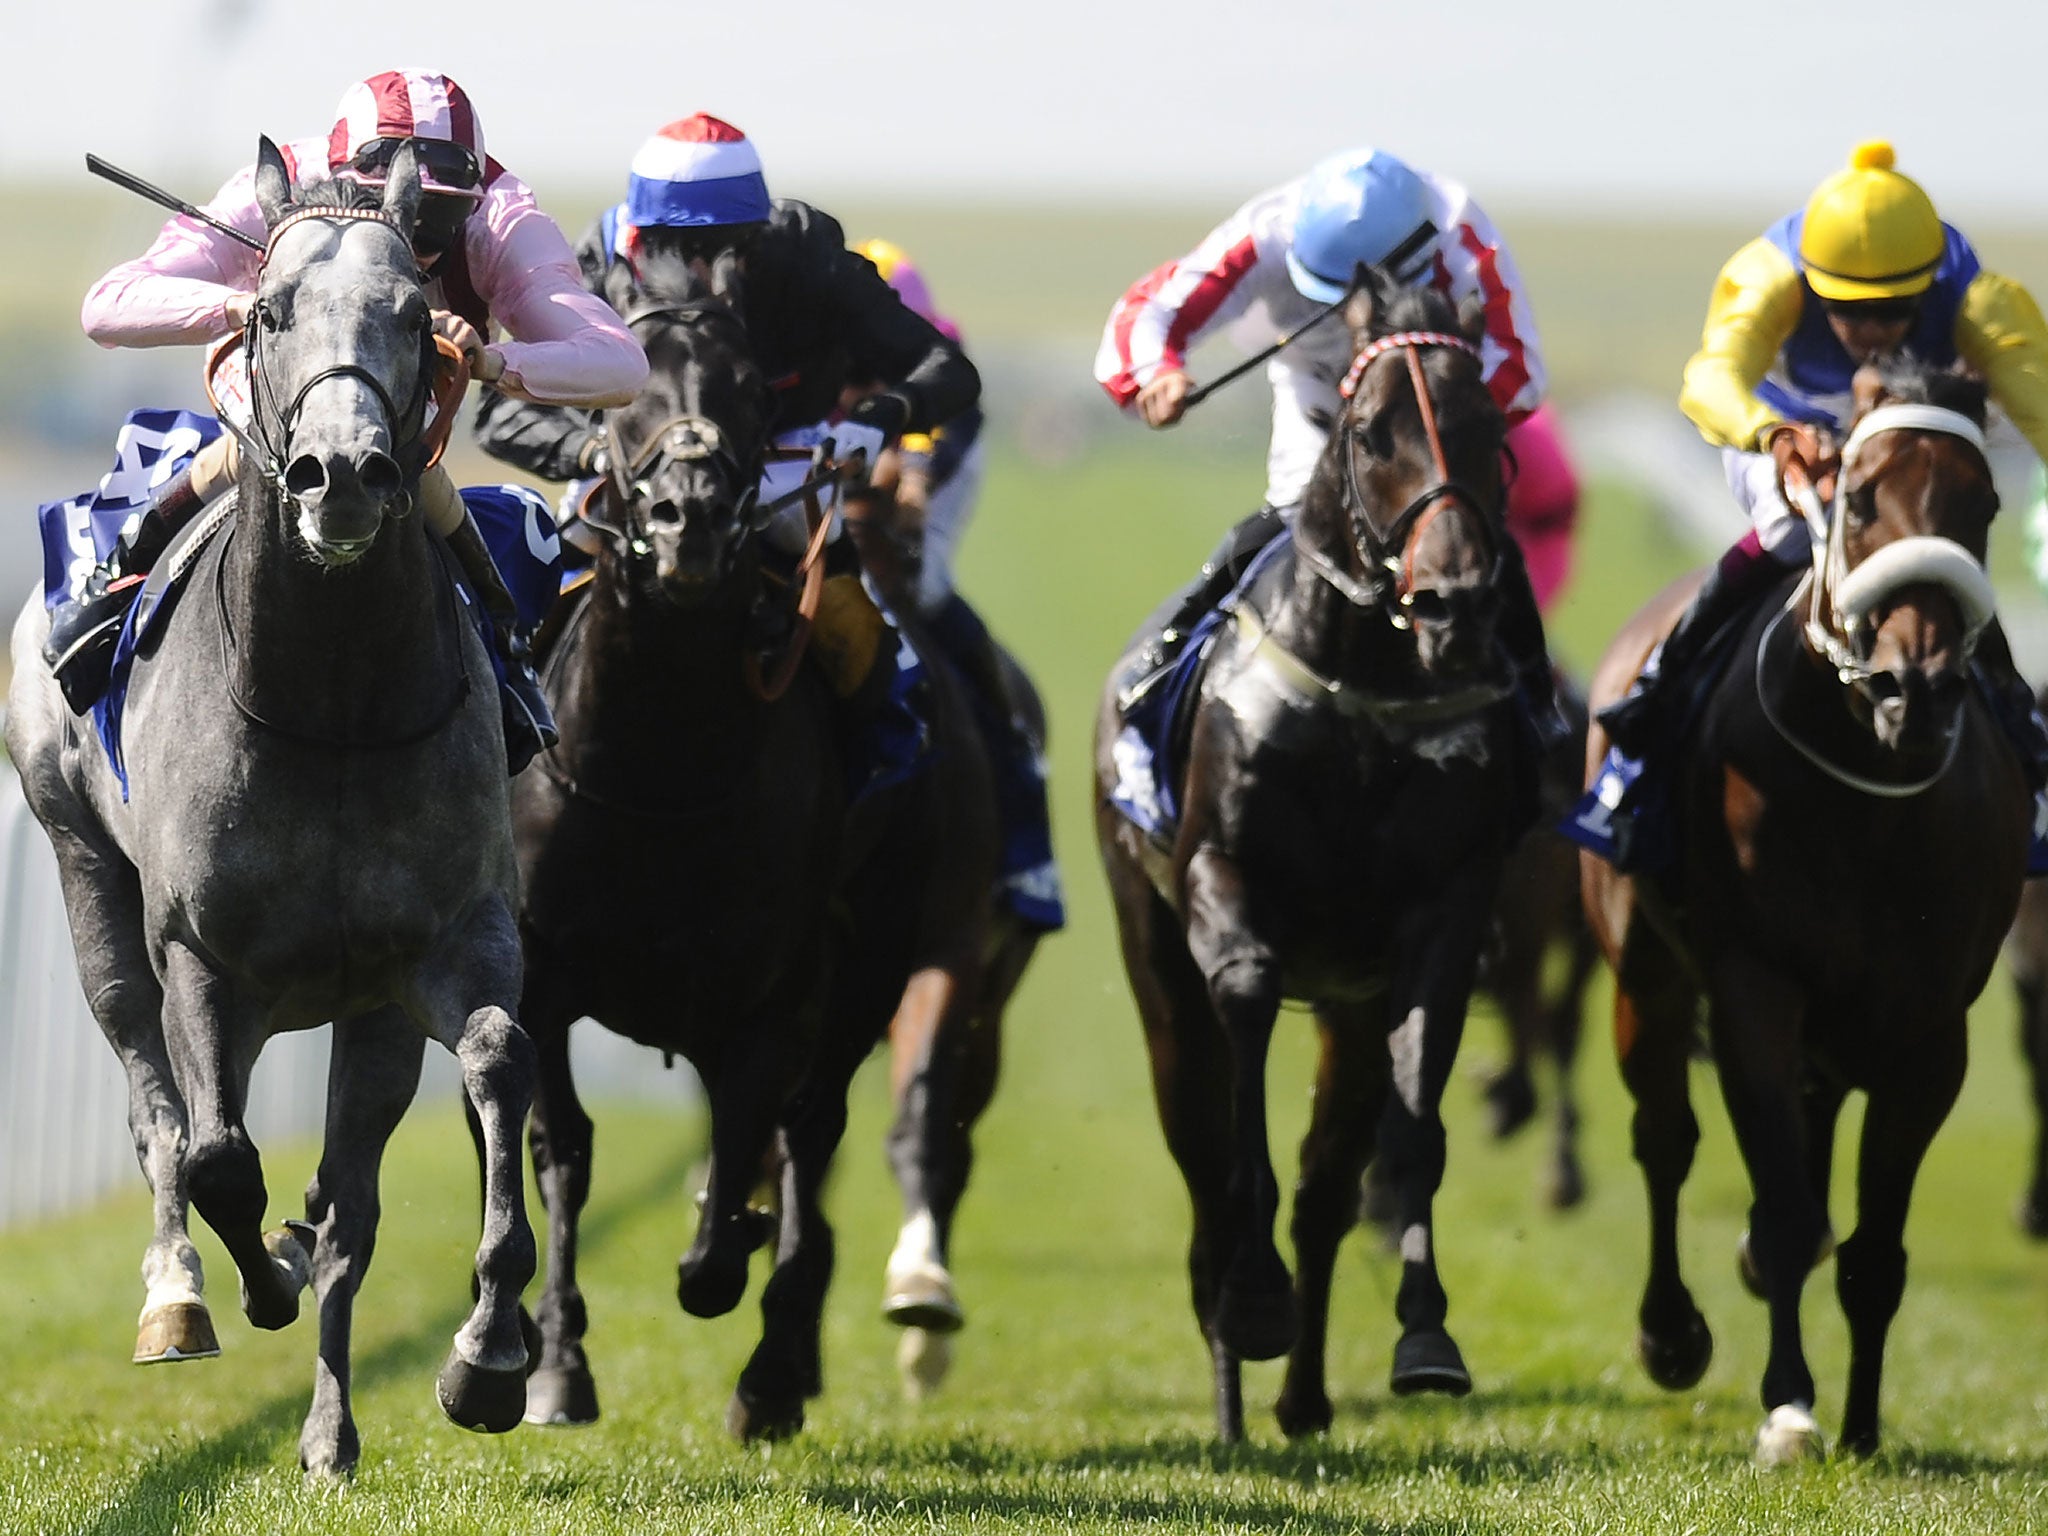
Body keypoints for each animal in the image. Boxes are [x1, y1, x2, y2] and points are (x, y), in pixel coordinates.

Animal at [6, 144, 536, 1482]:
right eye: (267, 312)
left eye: (416, 315)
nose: (340, 473)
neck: (332, 701)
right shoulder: (200, 955)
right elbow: (216, 1159)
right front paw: (252, 1277)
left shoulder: (445, 945)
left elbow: (497, 1060)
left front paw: (487, 1357)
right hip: (88, 882)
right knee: (158, 1115)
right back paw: (178, 1295)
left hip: (366, 1018)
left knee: (352, 1205)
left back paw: (330, 1433)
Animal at [1097, 274, 1531, 1441]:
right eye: (1371, 429)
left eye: (1489, 426)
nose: (1452, 601)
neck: (1364, 691)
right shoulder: (1221, 879)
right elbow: (1243, 1023)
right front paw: (1251, 1299)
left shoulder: (1438, 919)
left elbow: (1412, 1116)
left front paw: (1426, 1335)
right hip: (1154, 966)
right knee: (1202, 1159)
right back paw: (1233, 1391)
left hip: (1345, 1005)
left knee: (1325, 1184)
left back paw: (1298, 1399)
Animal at [1572, 358, 2023, 1466]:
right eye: (1858, 501)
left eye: (1983, 505)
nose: (1915, 686)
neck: (1869, 795)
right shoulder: (1753, 992)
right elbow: (1778, 1208)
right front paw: (1788, 1408)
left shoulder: (1928, 1030)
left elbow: (1872, 1246)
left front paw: (1860, 1422)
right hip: (1644, 974)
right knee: (1665, 1137)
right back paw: (1671, 1333)